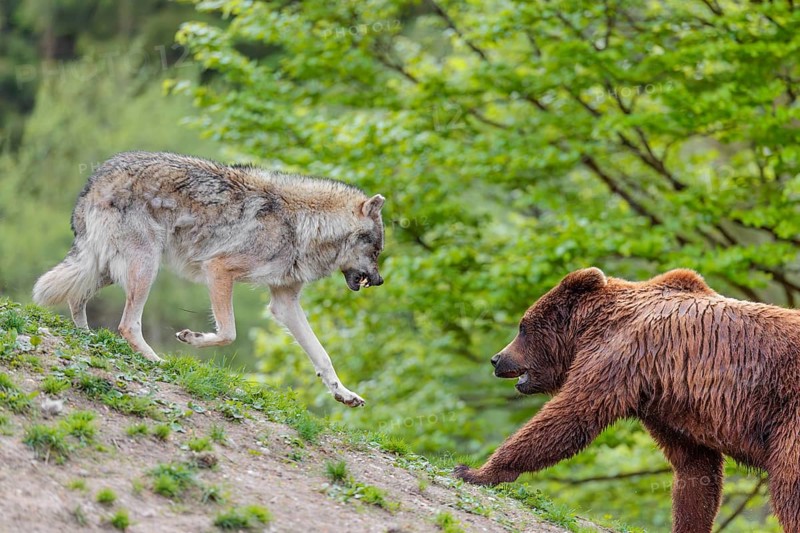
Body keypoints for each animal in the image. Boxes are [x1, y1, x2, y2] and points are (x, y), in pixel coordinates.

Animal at [33, 151, 386, 407]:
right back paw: (159, 362)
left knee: (76, 297)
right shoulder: (218, 269)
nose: (380, 281)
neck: (301, 224)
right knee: (127, 325)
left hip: (108, 269)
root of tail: (96, 176)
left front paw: (344, 394)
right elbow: (228, 333)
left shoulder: (284, 302)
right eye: (377, 250)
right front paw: (190, 338)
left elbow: (322, 355)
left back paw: (87, 336)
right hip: (145, 267)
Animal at [454, 267, 800, 533]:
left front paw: (473, 470)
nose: (497, 359)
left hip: (789, 419)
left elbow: (571, 415)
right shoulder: (663, 403)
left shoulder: (621, 357)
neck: (590, 328)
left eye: (522, 326)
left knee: (788, 485)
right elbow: (695, 468)